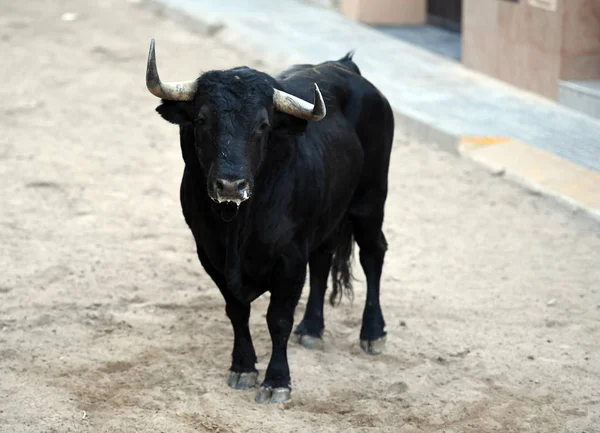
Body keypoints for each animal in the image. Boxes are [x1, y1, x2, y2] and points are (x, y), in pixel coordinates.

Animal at [146, 39, 394, 402]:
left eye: (263, 126)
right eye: (202, 119)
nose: (231, 185)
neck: (236, 224)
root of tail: (346, 67)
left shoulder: (289, 259)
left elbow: (278, 318)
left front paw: (277, 381)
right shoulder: (210, 255)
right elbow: (237, 311)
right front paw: (243, 367)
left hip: (370, 200)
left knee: (373, 253)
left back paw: (373, 333)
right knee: (323, 259)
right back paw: (312, 328)